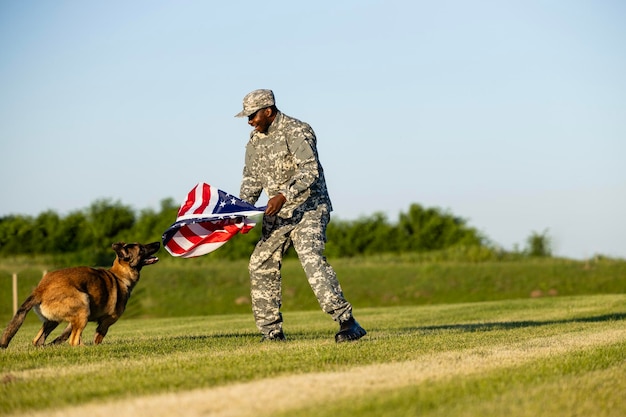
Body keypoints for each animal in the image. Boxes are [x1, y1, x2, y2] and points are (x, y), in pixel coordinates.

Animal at [0, 240, 160, 348]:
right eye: (141, 249)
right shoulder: (107, 322)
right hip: (84, 304)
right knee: (73, 341)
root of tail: (40, 289)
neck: (120, 276)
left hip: (54, 320)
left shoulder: (72, 322)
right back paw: (84, 348)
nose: (158, 242)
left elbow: (63, 336)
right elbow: (97, 337)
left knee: (38, 340)